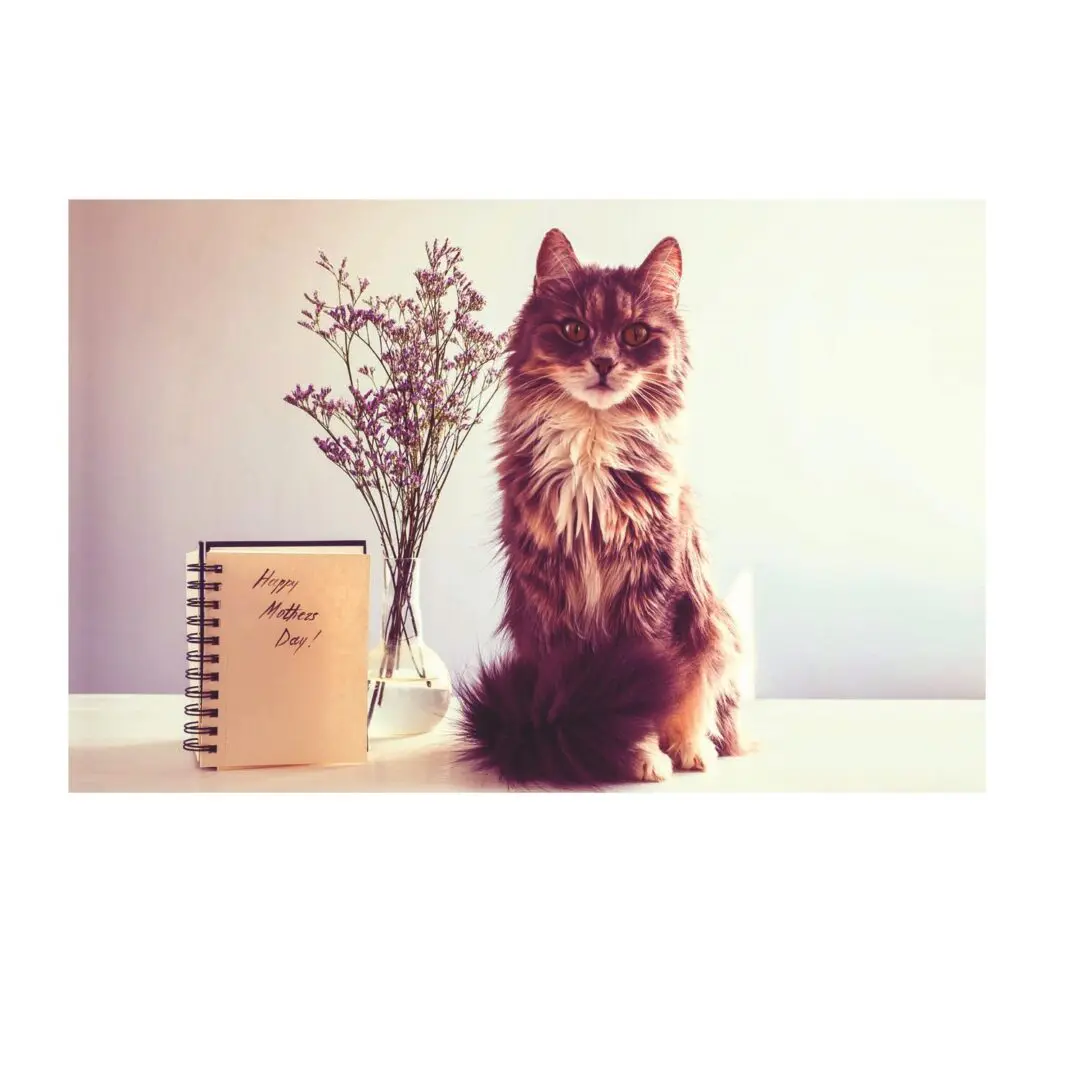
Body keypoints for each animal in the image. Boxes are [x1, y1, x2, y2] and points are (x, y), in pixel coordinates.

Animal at [455, 227, 743, 786]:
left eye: (634, 334)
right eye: (574, 329)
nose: (605, 362)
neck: (593, 442)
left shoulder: (651, 586)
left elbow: (648, 690)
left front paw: (645, 756)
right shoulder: (548, 590)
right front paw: (624, 754)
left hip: (711, 628)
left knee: (700, 711)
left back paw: (693, 751)